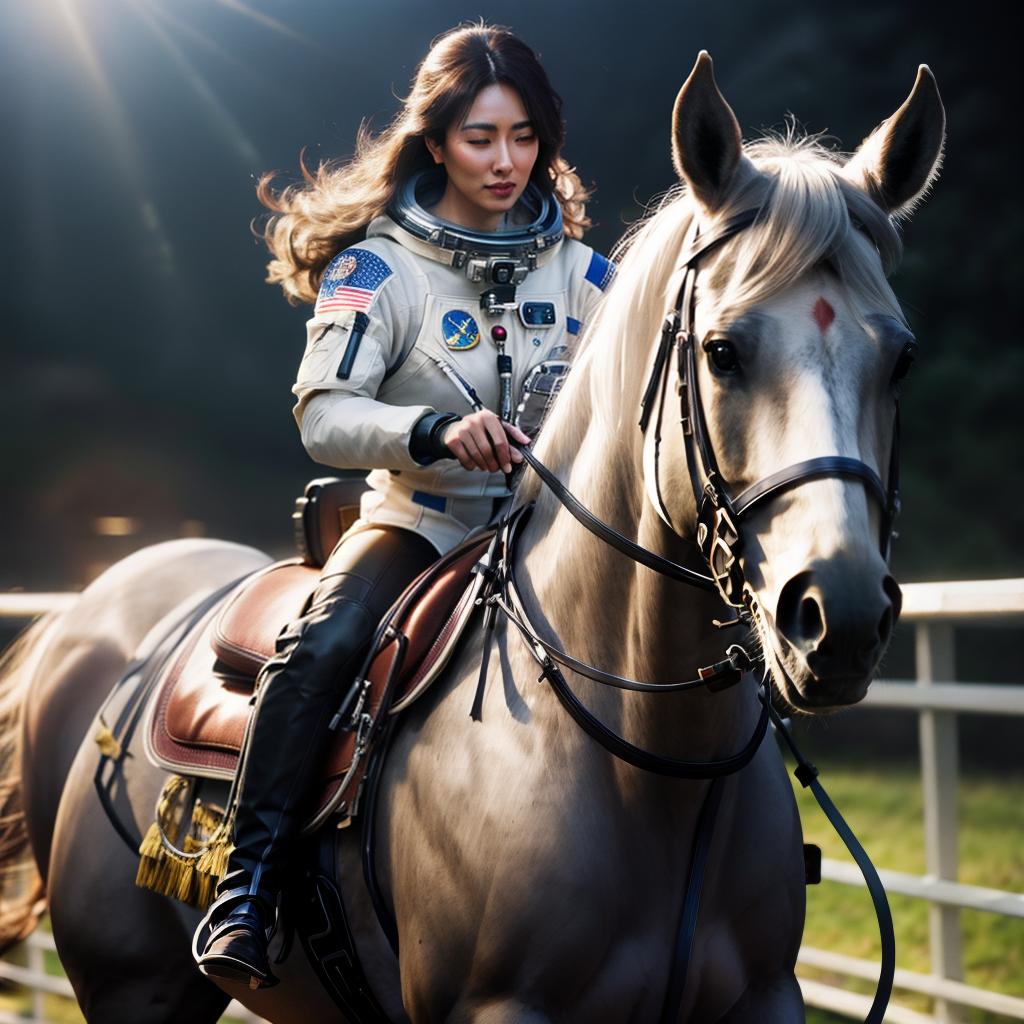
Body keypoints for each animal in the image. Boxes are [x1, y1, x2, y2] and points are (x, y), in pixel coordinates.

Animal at [0, 56, 942, 1024]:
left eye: (900, 357)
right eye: (722, 351)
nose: (840, 616)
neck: (651, 761)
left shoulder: (762, 997)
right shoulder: (499, 1008)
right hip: (133, 987)